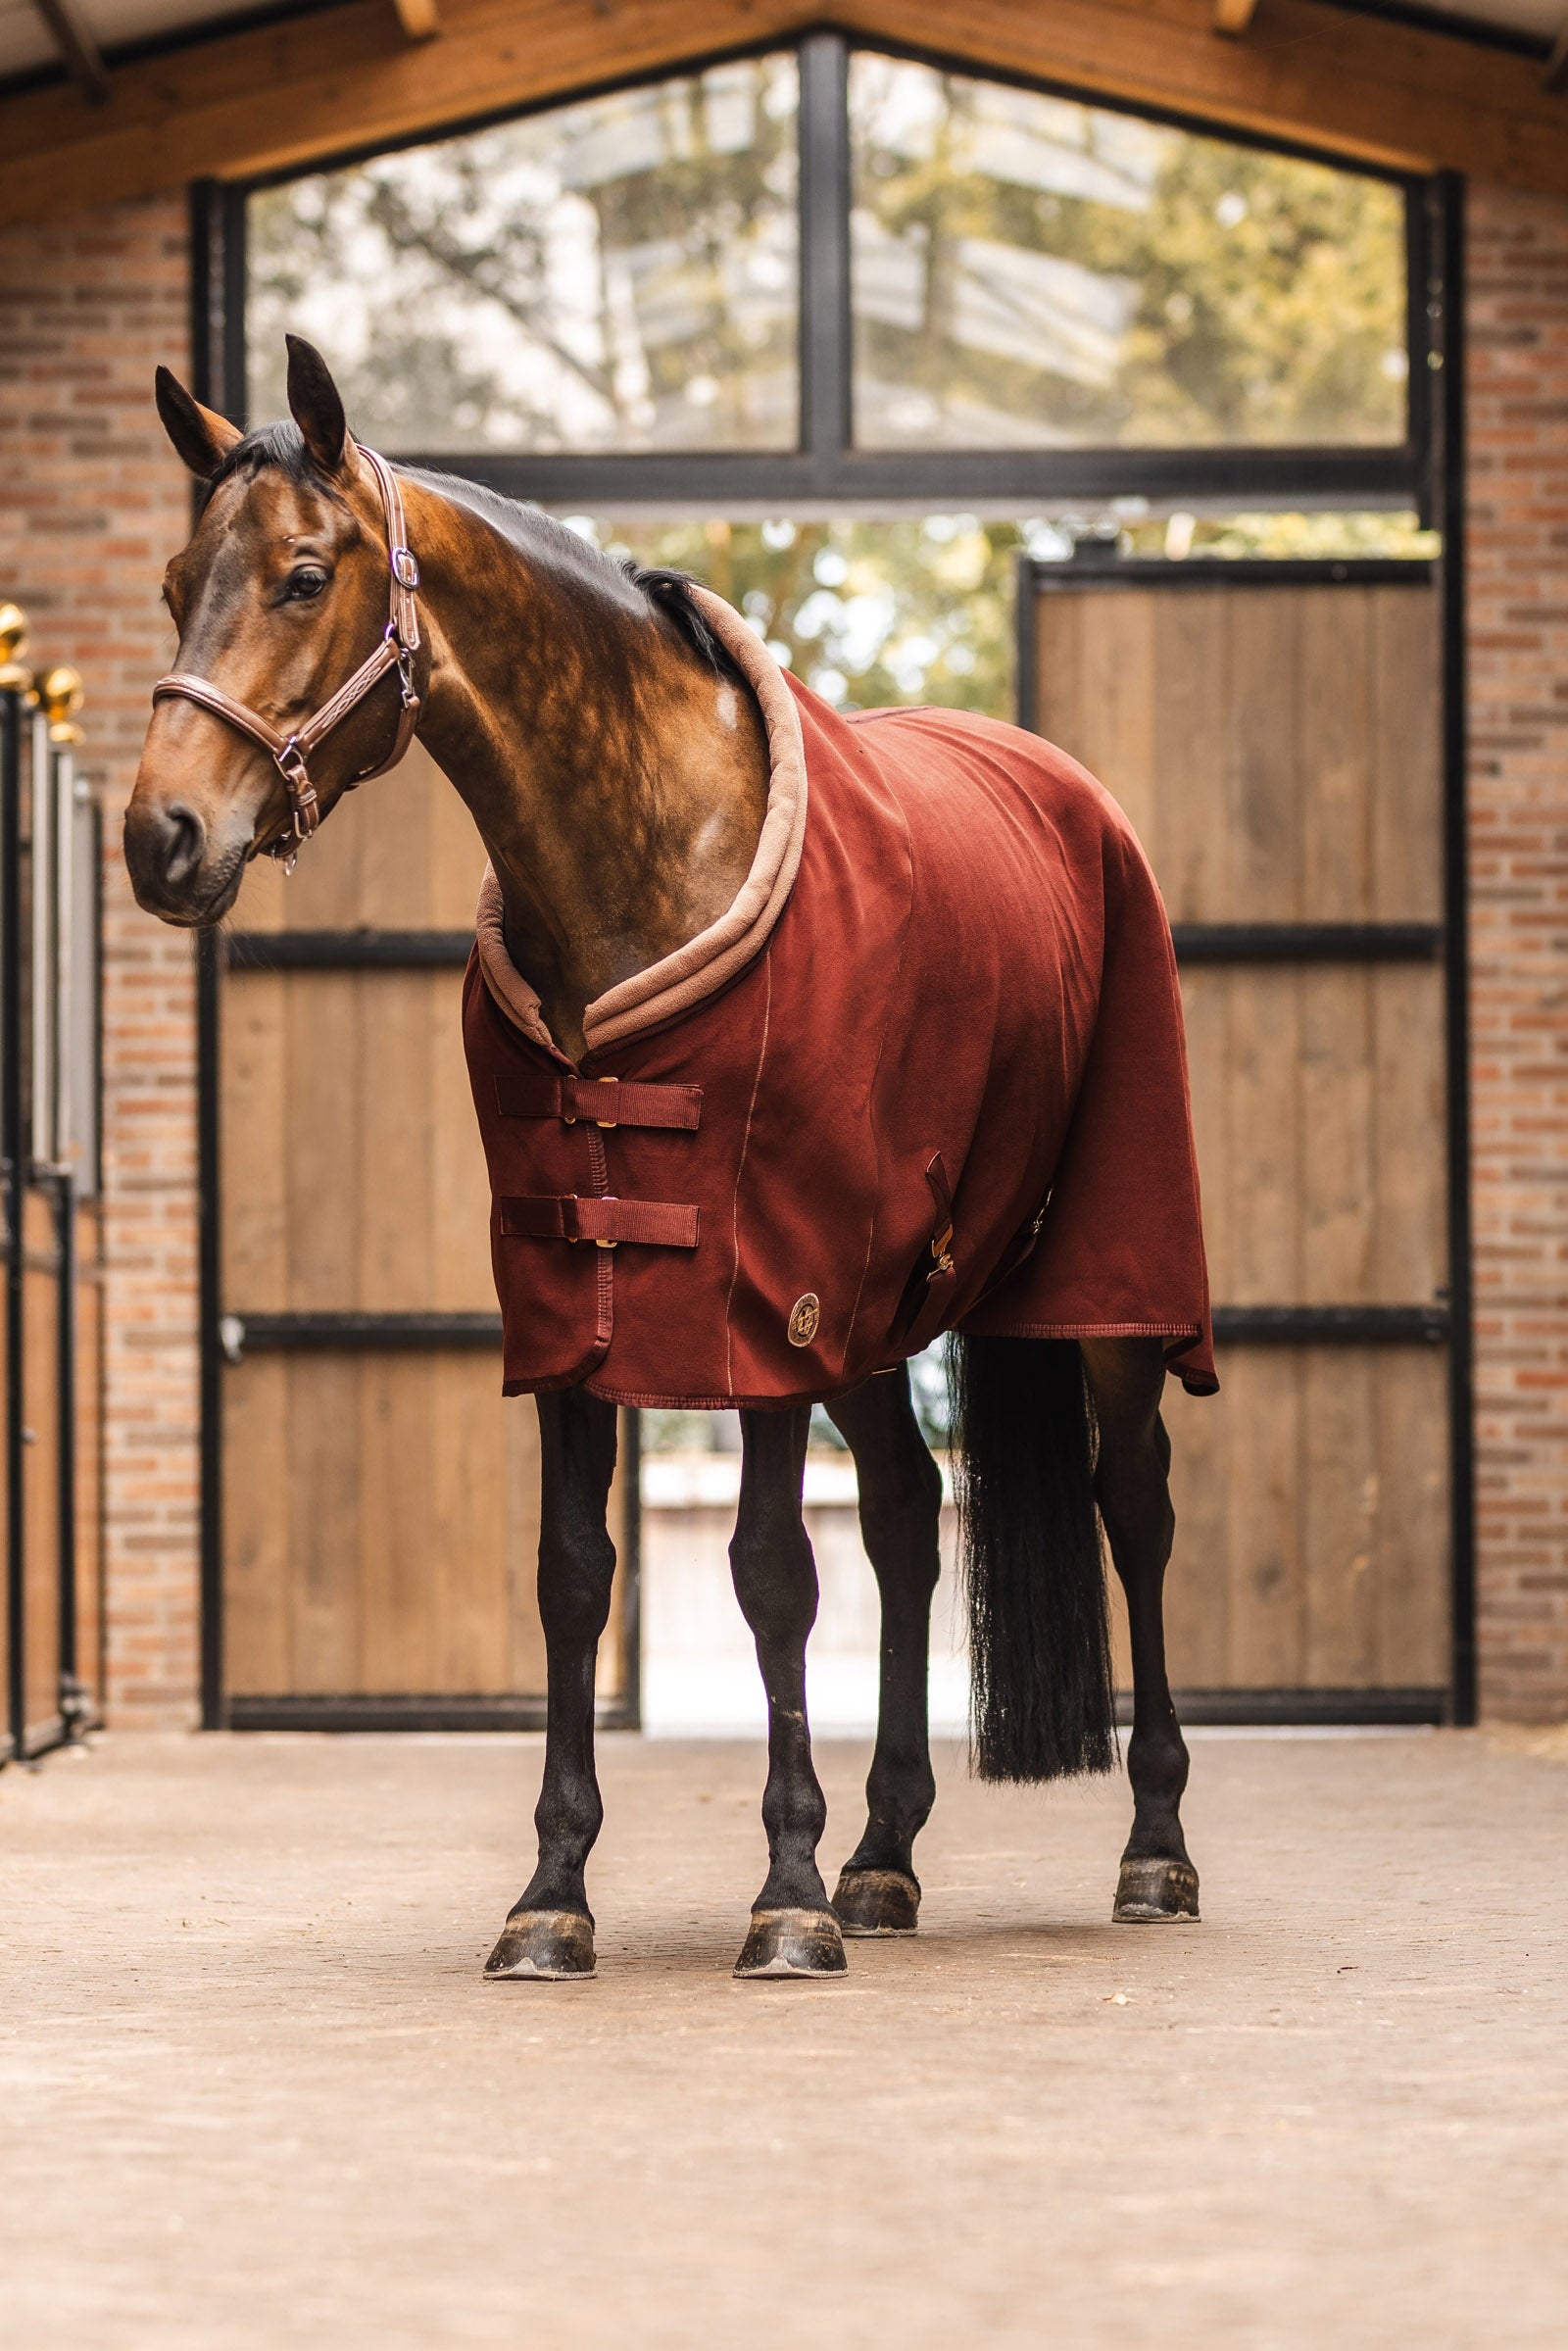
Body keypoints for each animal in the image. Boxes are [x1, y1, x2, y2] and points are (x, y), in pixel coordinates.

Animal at [126, 336, 1209, 1982]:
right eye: (178, 580)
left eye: (305, 576)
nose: (161, 836)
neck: (645, 857)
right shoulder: (577, 1291)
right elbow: (575, 1573)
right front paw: (553, 1895)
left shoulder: (761, 1293)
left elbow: (770, 1573)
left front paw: (785, 1890)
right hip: (872, 1314)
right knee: (906, 1517)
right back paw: (886, 1853)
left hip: (1104, 1288)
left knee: (1133, 1508)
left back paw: (1152, 1848)